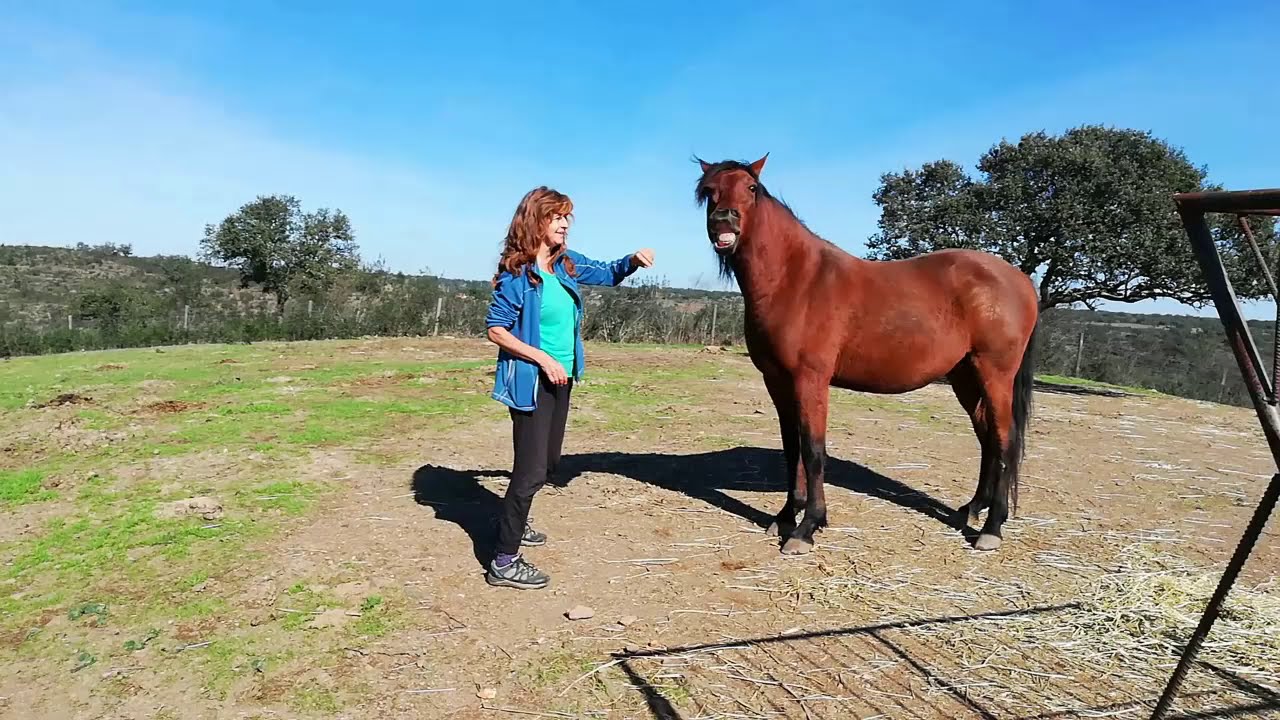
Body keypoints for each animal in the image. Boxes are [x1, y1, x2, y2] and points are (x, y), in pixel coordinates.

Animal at [693, 154, 1040, 555]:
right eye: (709, 190)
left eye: (750, 188)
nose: (724, 220)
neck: (796, 280)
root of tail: (1020, 280)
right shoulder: (777, 380)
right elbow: (791, 448)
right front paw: (784, 517)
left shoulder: (811, 380)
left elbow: (813, 449)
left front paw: (807, 528)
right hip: (965, 375)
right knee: (987, 438)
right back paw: (971, 509)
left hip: (994, 372)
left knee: (1004, 440)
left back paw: (992, 528)